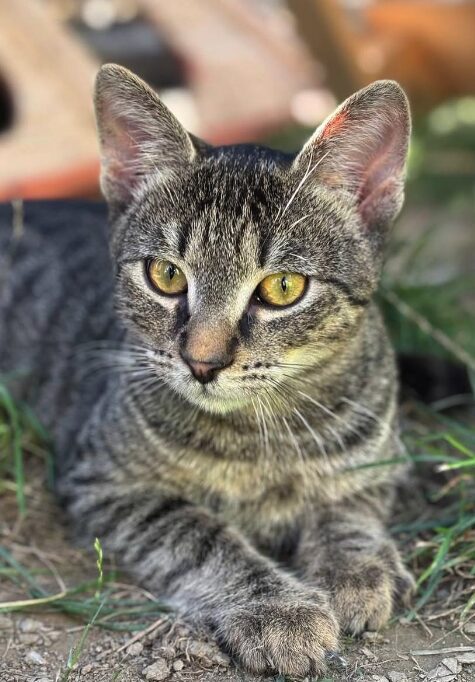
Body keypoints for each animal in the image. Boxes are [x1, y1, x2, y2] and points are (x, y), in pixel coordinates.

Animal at [0, 63, 414, 676]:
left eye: (283, 287)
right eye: (167, 275)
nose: (202, 361)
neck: (258, 435)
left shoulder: (378, 459)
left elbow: (348, 508)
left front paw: (355, 569)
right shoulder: (106, 482)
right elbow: (201, 536)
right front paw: (278, 609)